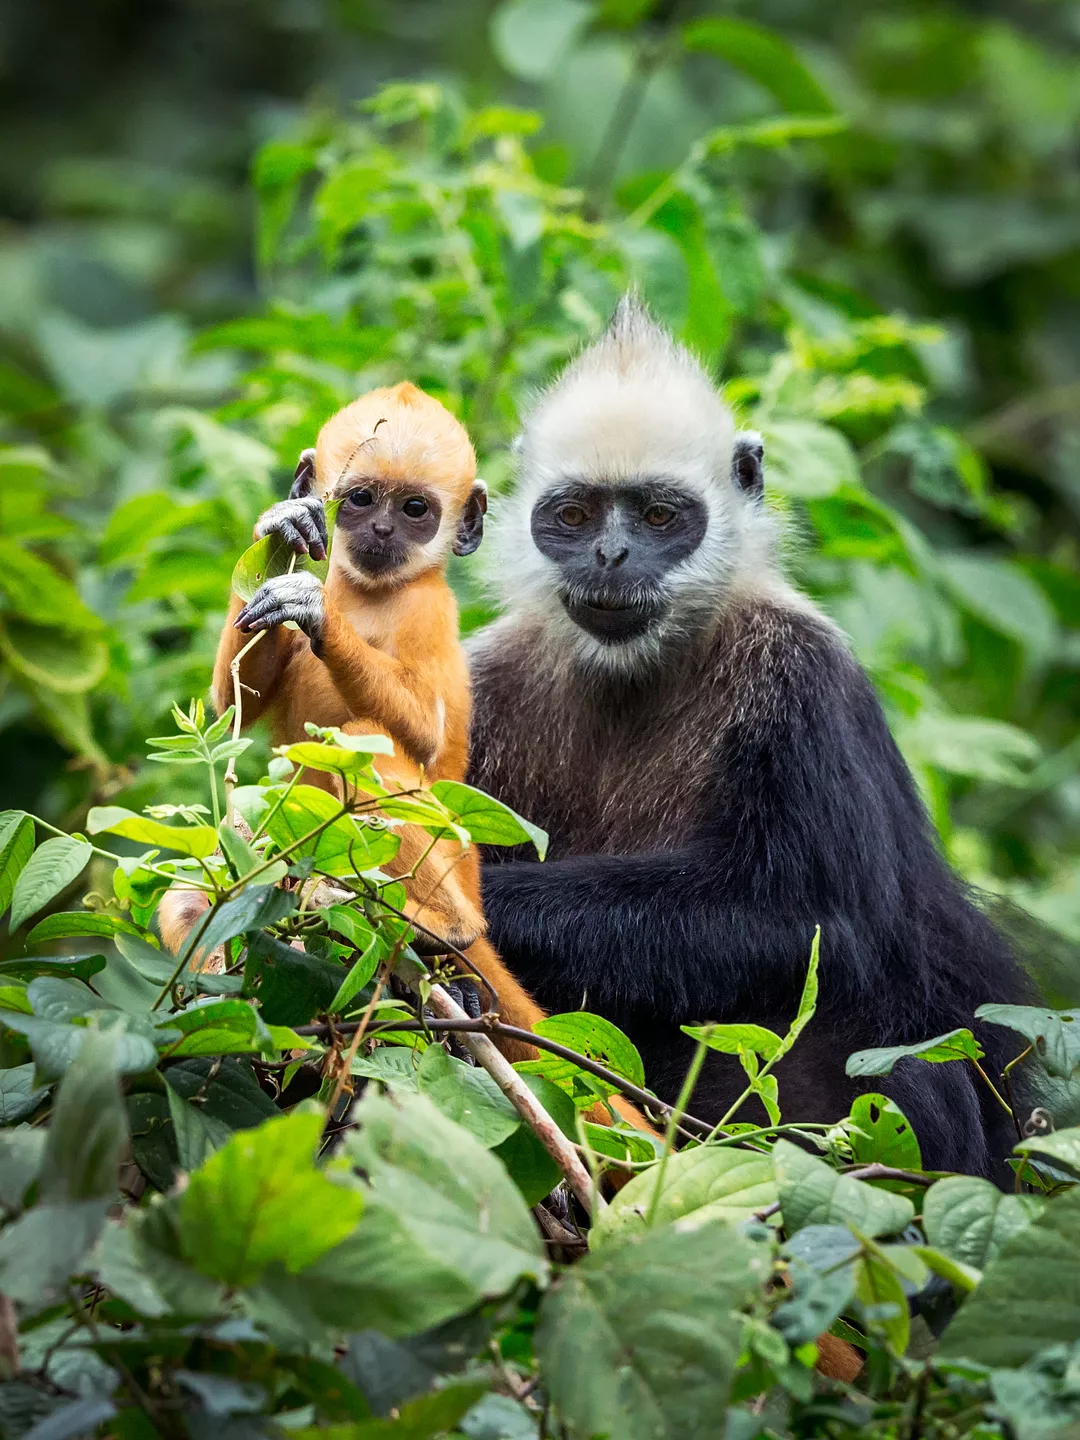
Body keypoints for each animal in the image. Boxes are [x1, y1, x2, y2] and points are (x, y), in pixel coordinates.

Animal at [472, 295, 1031, 1180]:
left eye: (659, 516)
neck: (635, 674)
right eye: (575, 515)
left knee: (899, 1065)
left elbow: (813, 921)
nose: (610, 554)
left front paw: (477, 898)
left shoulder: (805, 677)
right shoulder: (487, 678)